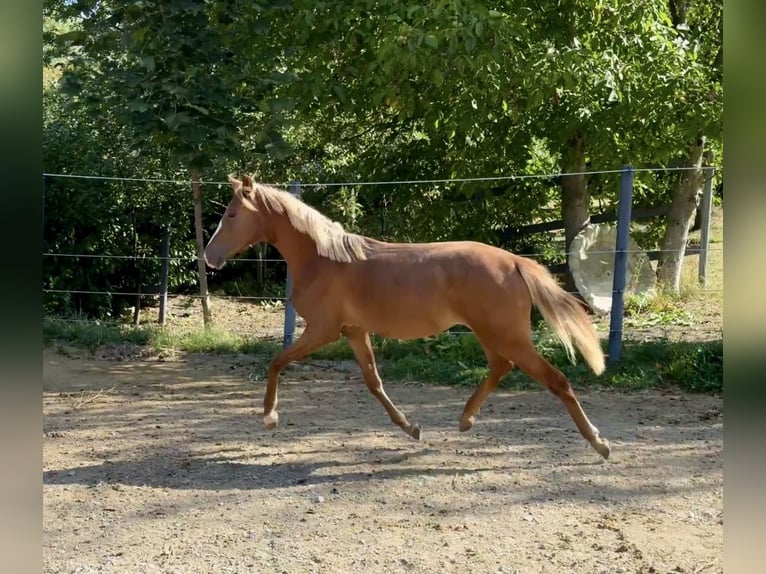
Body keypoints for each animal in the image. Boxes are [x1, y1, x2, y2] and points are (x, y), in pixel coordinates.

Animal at [204, 175, 611, 459]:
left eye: (232, 214)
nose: (209, 256)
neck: (323, 259)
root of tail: (515, 262)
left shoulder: (322, 331)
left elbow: (276, 362)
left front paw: (269, 417)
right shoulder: (354, 332)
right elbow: (373, 382)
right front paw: (412, 428)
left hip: (506, 335)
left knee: (555, 380)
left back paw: (599, 443)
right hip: (493, 334)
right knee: (501, 368)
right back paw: (465, 420)